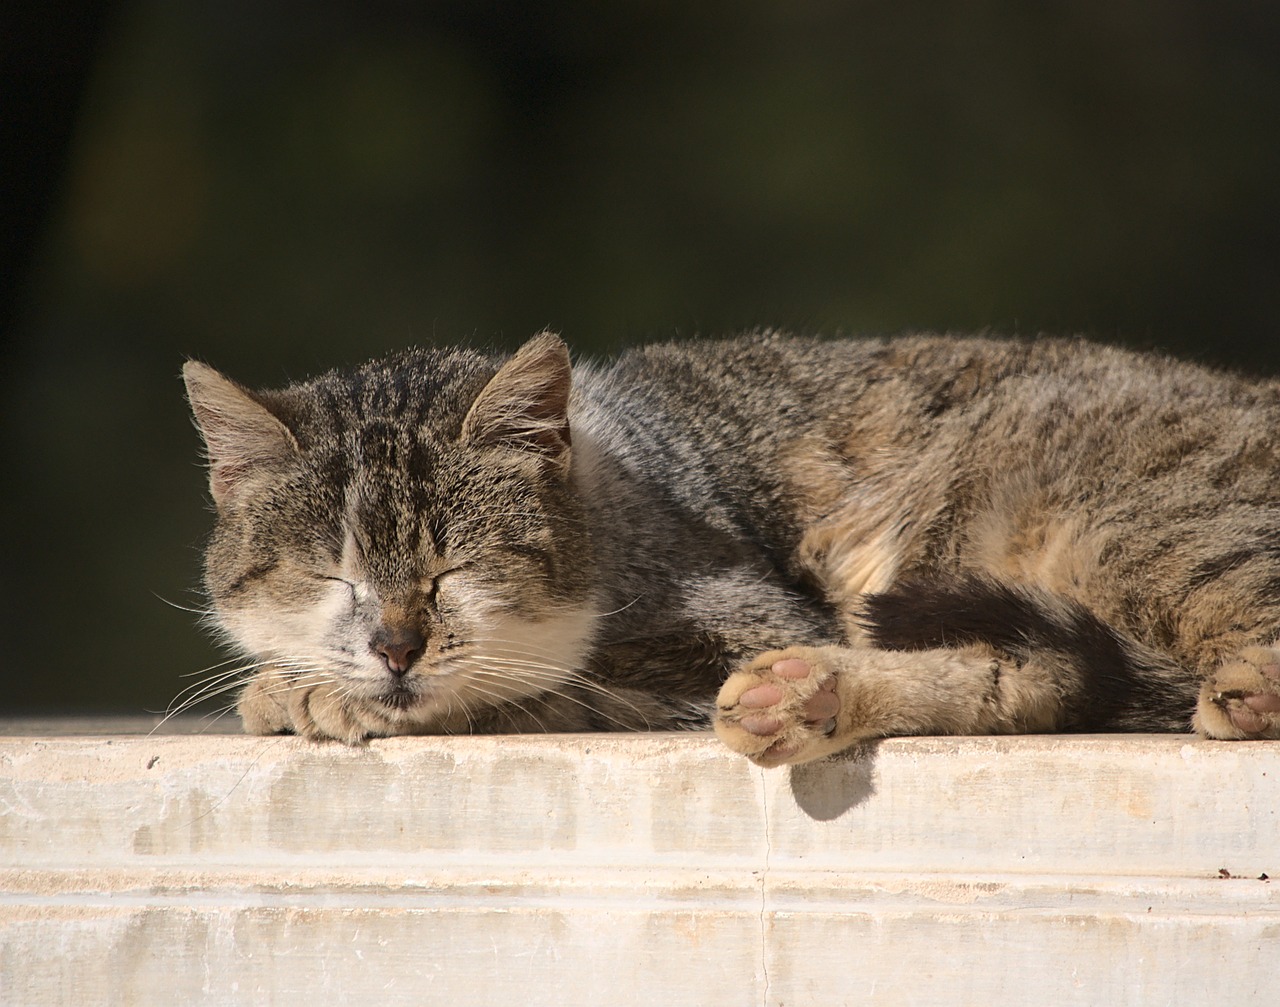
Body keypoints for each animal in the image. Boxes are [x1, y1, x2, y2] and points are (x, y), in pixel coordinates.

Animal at [180, 330, 1280, 762]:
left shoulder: (731, 611)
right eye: (330, 574)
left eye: (456, 569)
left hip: (1090, 518)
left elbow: (535, 686)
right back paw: (806, 696)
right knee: (1038, 675)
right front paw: (290, 682)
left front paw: (317, 695)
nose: (395, 646)